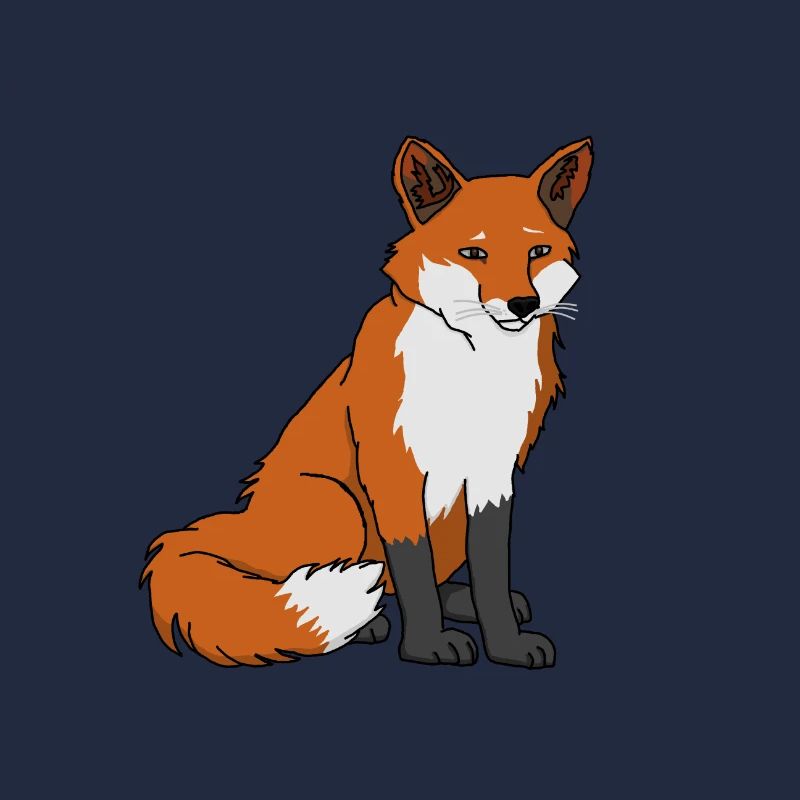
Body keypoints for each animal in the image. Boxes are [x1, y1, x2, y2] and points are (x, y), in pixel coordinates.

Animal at [141, 136, 593, 668]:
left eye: (538, 252)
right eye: (474, 253)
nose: (522, 304)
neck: (473, 371)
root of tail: (244, 525)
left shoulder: (493, 476)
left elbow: (491, 575)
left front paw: (504, 645)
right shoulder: (393, 470)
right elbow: (414, 570)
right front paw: (425, 647)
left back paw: (453, 601)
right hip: (339, 504)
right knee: (313, 582)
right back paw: (365, 623)